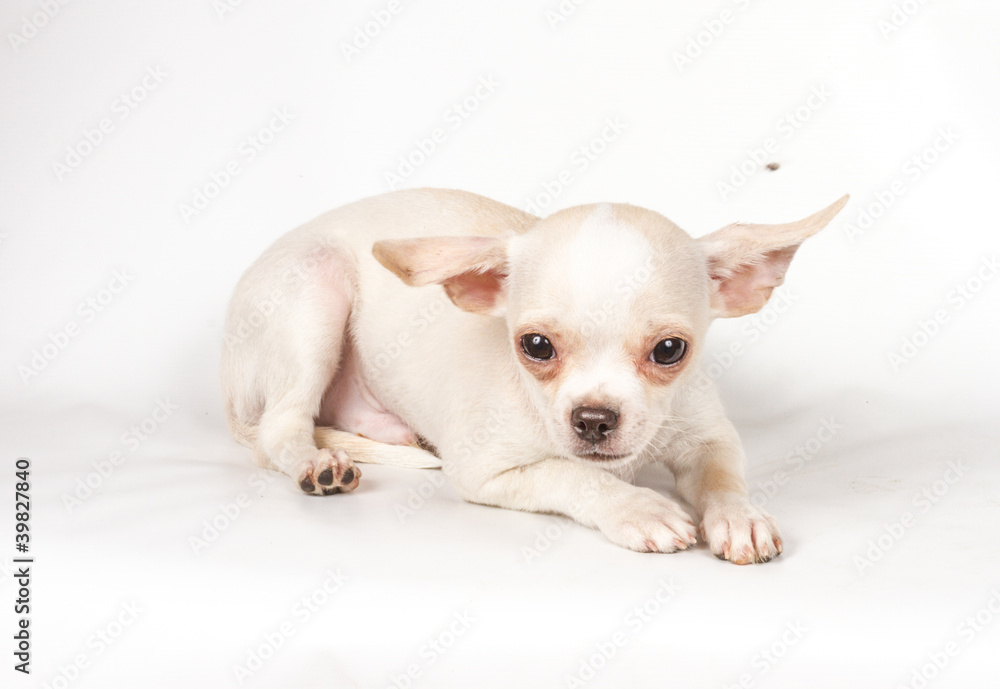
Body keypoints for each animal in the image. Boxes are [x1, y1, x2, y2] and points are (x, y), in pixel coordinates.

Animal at [223, 188, 848, 564]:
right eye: (536, 346)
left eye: (670, 350)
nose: (593, 420)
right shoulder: (484, 472)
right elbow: (572, 475)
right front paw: (638, 508)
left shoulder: (710, 437)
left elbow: (723, 478)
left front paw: (739, 517)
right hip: (315, 290)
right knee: (282, 427)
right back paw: (317, 464)